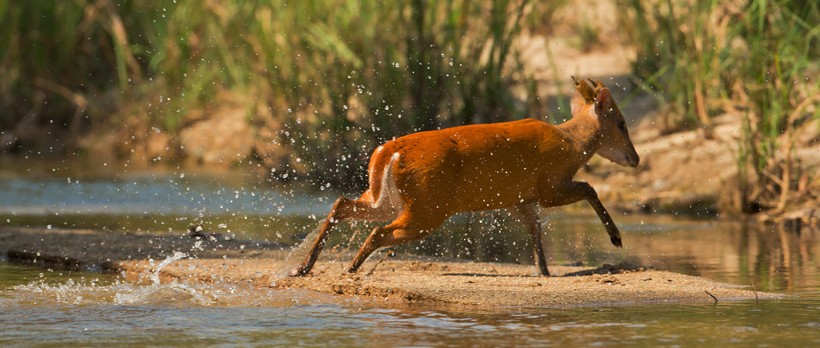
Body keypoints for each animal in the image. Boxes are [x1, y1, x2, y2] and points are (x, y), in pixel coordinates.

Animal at [288, 77, 640, 278]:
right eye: (622, 123)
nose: (635, 158)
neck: (571, 145)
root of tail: (389, 151)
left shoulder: (519, 197)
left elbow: (535, 230)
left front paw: (543, 270)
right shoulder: (548, 185)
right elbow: (589, 187)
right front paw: (616, 238)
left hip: (387, 197)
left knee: (341, 204)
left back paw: (303, 267)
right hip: (427, 206)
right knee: (378, 230)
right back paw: (349, 268)